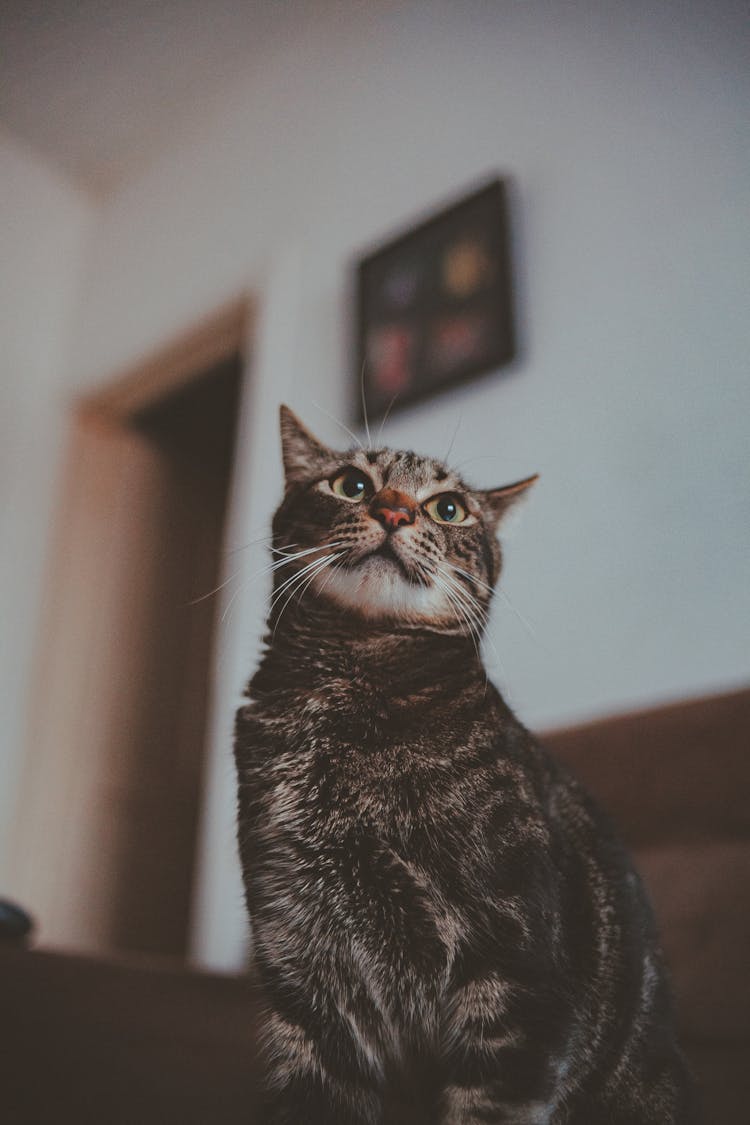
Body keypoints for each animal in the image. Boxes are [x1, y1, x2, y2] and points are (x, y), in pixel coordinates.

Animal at [232, 407, 692, 1125]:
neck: (338, 700)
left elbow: (487, 1103)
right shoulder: (301, 964)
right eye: (350, 484)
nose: (393, 510)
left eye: (448, 507)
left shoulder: (515, 968)